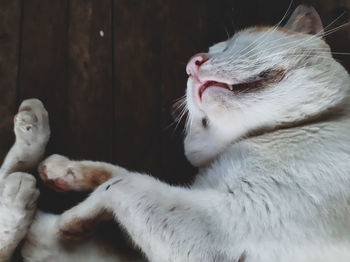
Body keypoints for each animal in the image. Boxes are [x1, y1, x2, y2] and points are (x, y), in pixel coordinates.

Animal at [21, 5, 350, 262]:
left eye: (231, 43)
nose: (193, 63)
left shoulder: (217, 231)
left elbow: (121, 184)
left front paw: (65, 223)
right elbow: (117, 174)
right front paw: (63, 171)